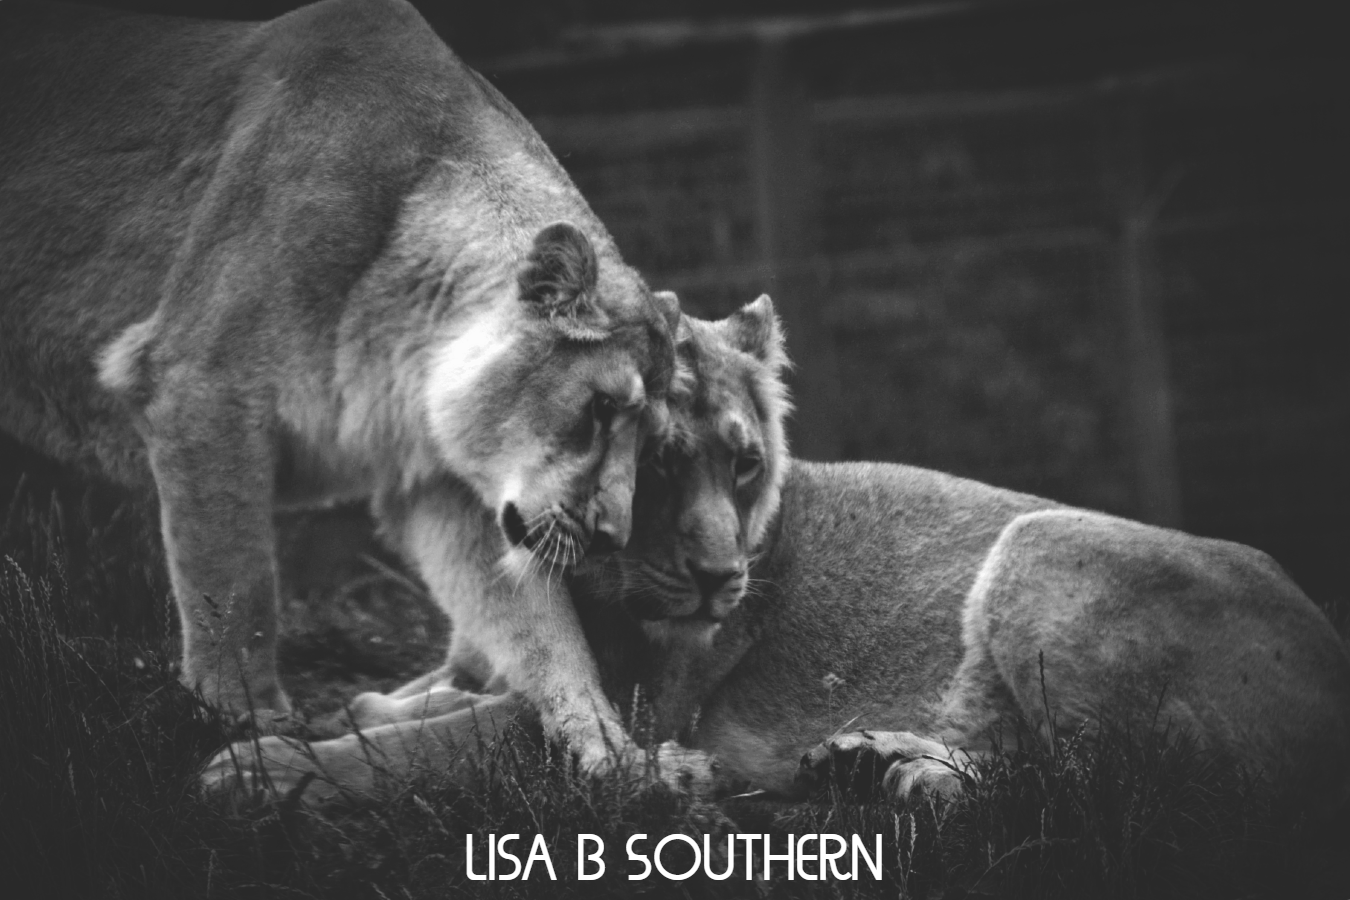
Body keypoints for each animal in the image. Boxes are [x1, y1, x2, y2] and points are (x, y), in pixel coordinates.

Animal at [0, 0, 686, 779]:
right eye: (600, 409)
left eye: (652, 442)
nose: (613, 536)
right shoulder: (198, 384)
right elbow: (232, 584)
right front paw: (245, 722)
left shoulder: (449, 490)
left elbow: (540, 628)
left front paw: (605, 743)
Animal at [223, 297, 1350, 817]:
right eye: (658, 464)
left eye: (746, 463)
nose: (725, 581)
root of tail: (1328, 648)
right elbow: (413, 700)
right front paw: (370, 705)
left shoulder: (627, 718)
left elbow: (433, 744)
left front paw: (262, 766)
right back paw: (869, 763)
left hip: (1042, 544)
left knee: (1105, 783)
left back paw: (896, 776)